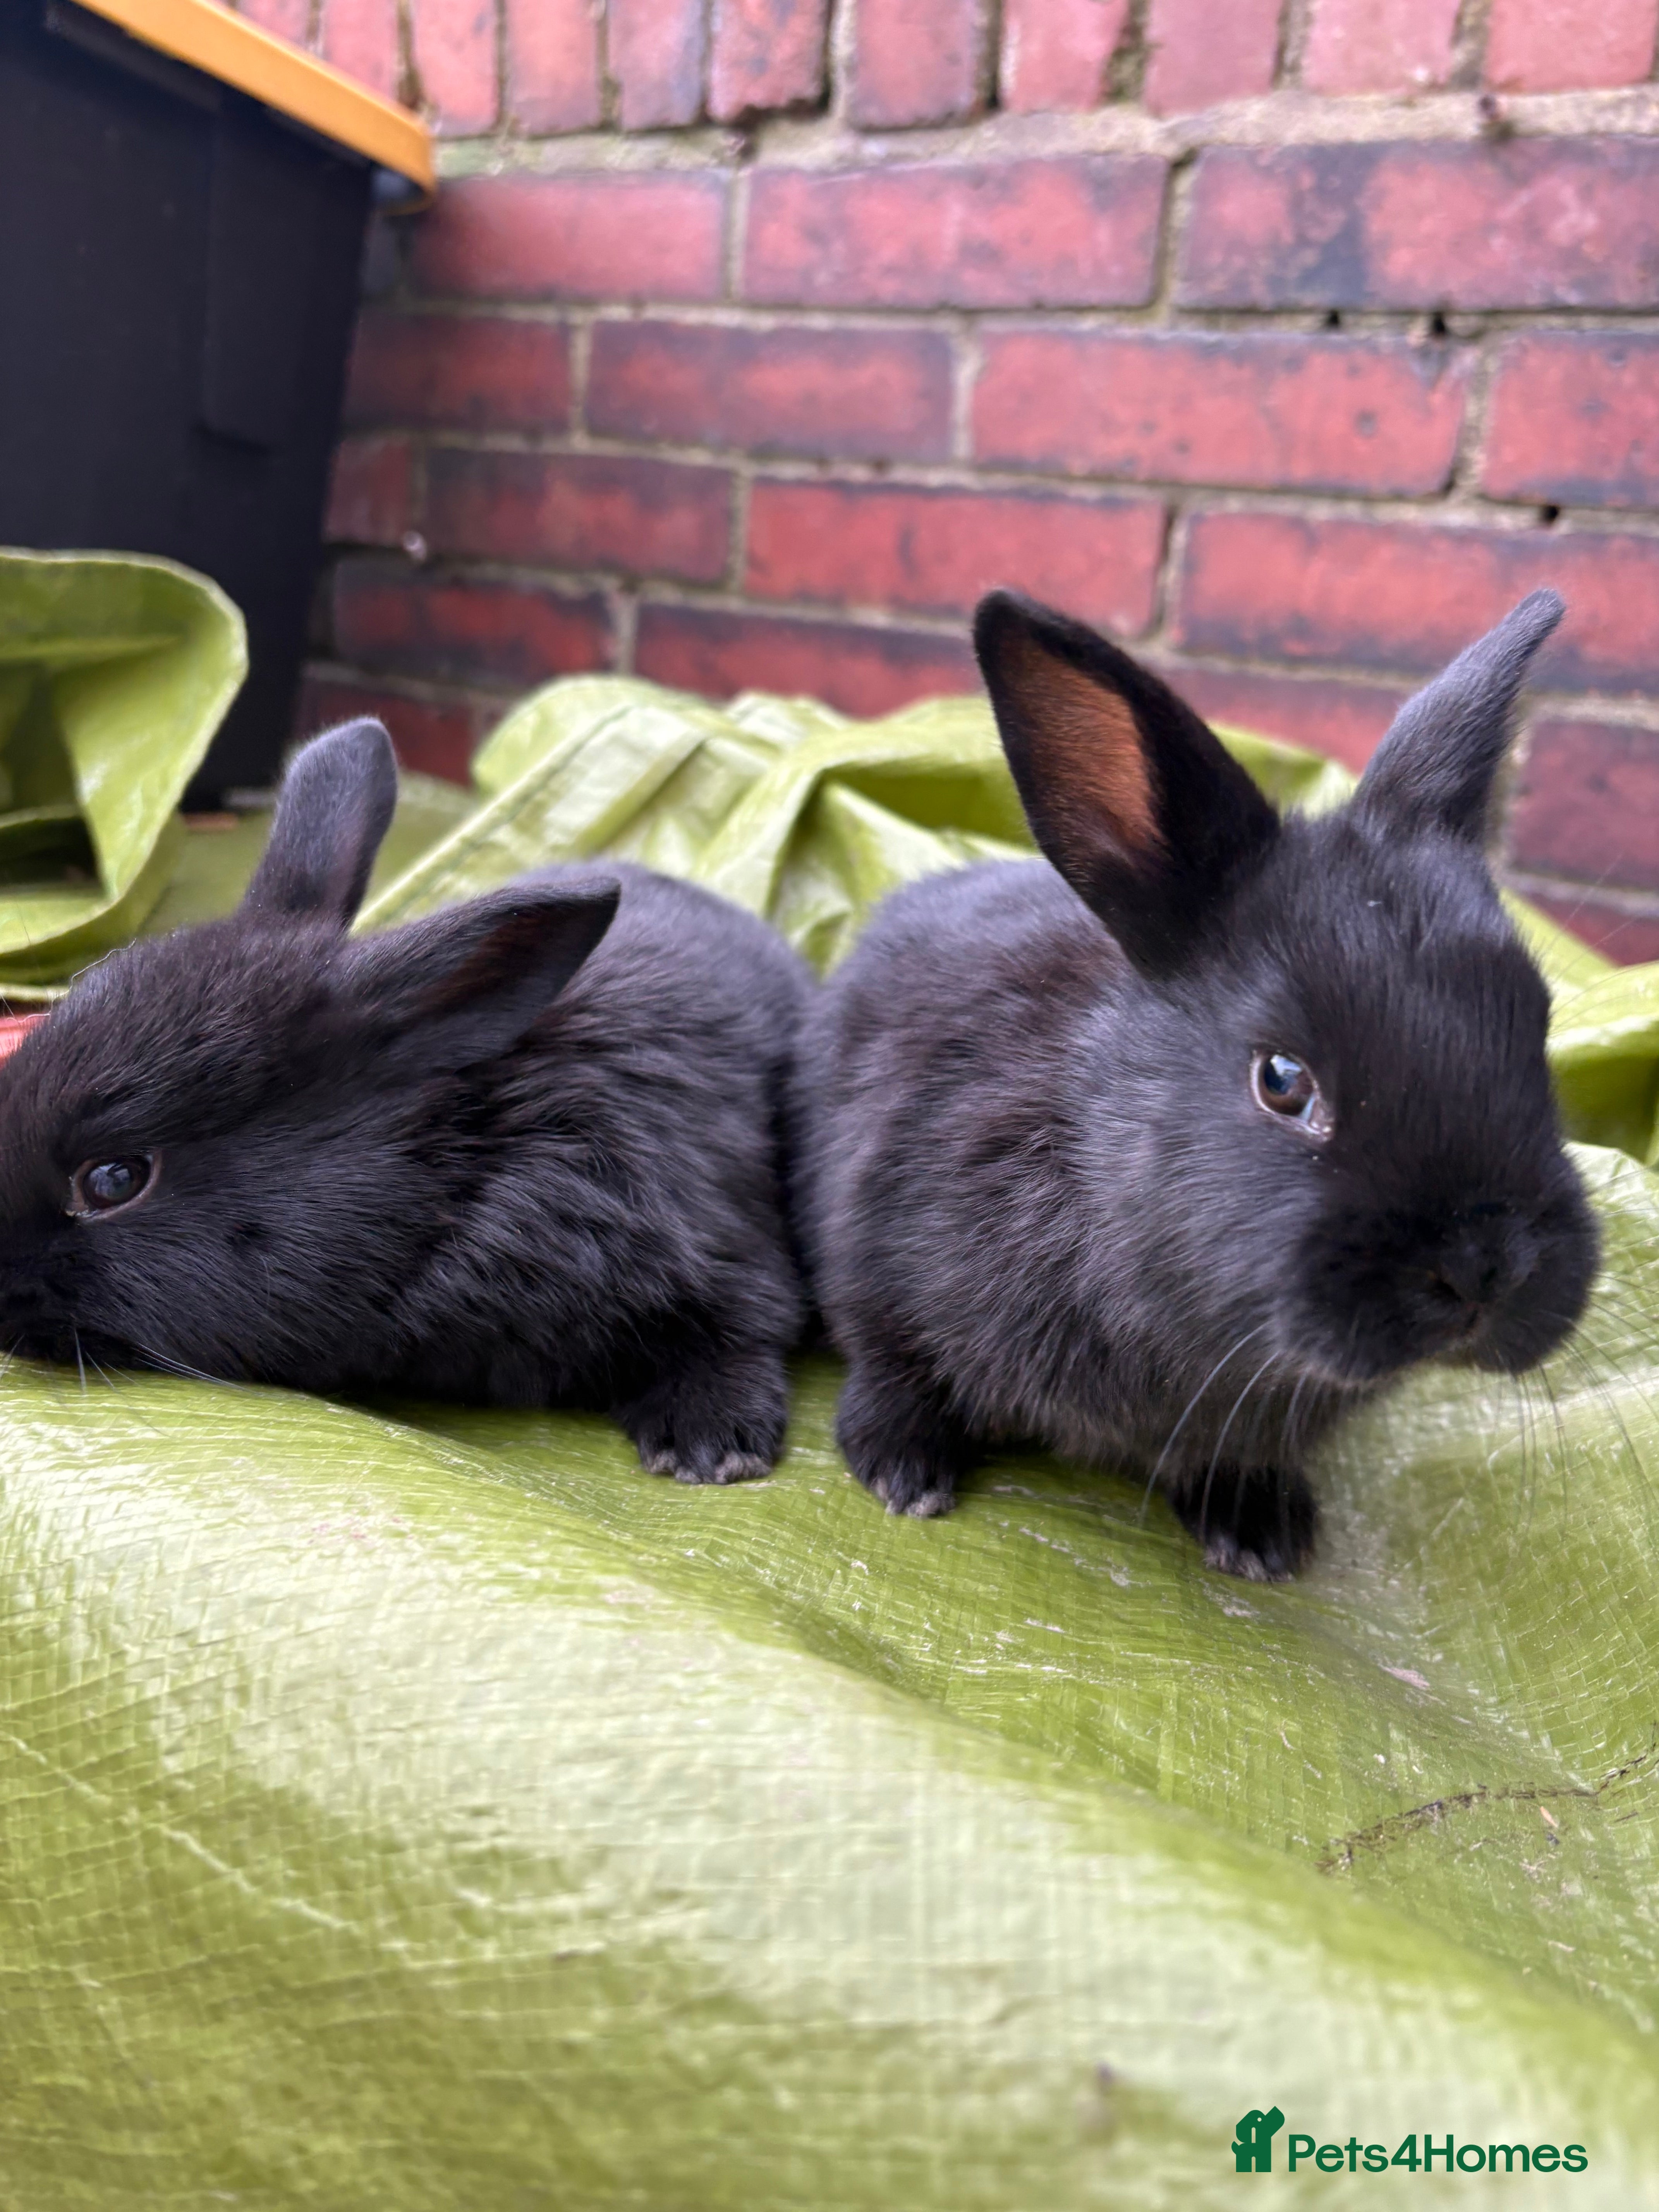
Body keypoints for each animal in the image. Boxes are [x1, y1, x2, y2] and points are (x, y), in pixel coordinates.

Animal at [796, 588, 1599, 1579]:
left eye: (1538, 1026)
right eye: (1283, 1081)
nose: (1487, 1269)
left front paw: (1262, 1534)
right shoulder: (868, 1233)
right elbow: (892, 1358)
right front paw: (901, 1470)